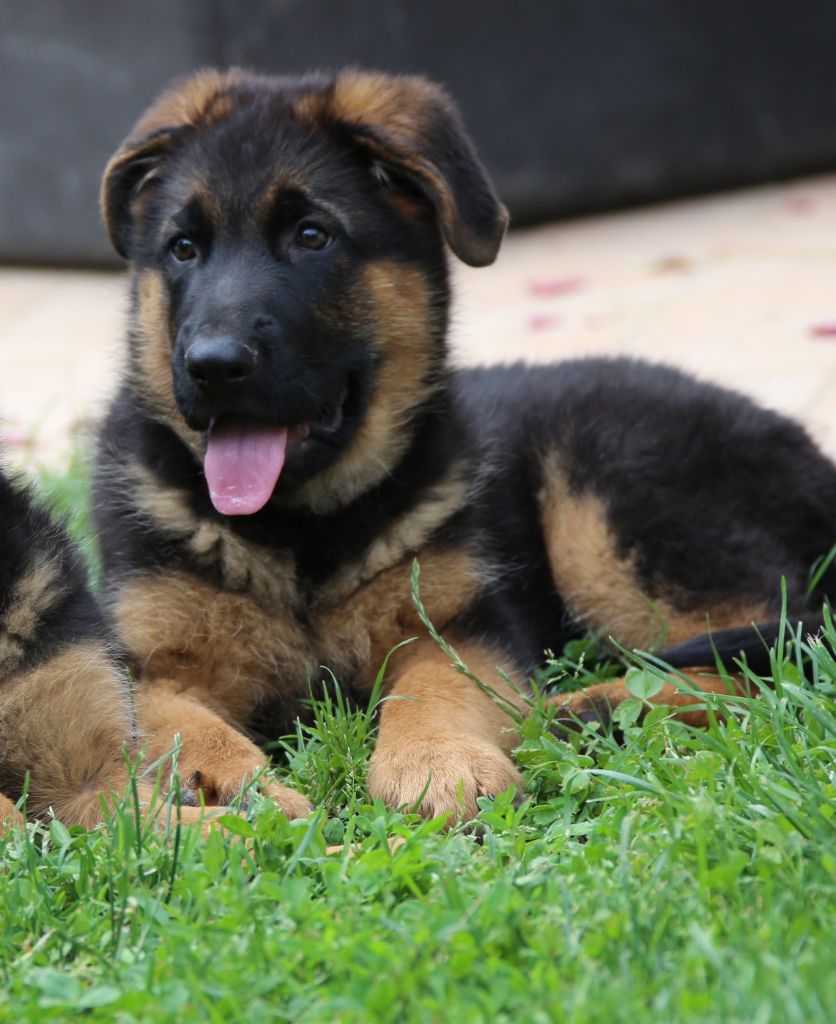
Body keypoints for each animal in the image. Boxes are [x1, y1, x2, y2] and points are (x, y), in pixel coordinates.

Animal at [93, 68, 836, 819]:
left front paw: (437, 763)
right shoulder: (142, 662)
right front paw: (236, 789)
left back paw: (590, 707)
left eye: (312, 236)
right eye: (183, 248)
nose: (213, 366)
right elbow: (172, 725)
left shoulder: (459, 628)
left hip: (610, 505)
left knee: (771, 648)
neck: (302, 532)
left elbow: (434, 689)